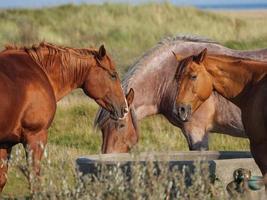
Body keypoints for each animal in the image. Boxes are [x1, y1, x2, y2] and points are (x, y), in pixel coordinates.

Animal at [0, 41, 128, 191]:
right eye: (113, 75)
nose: (124, 108)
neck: (40, 70)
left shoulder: (5, 143)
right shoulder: (35, 137)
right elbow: (35, 181)